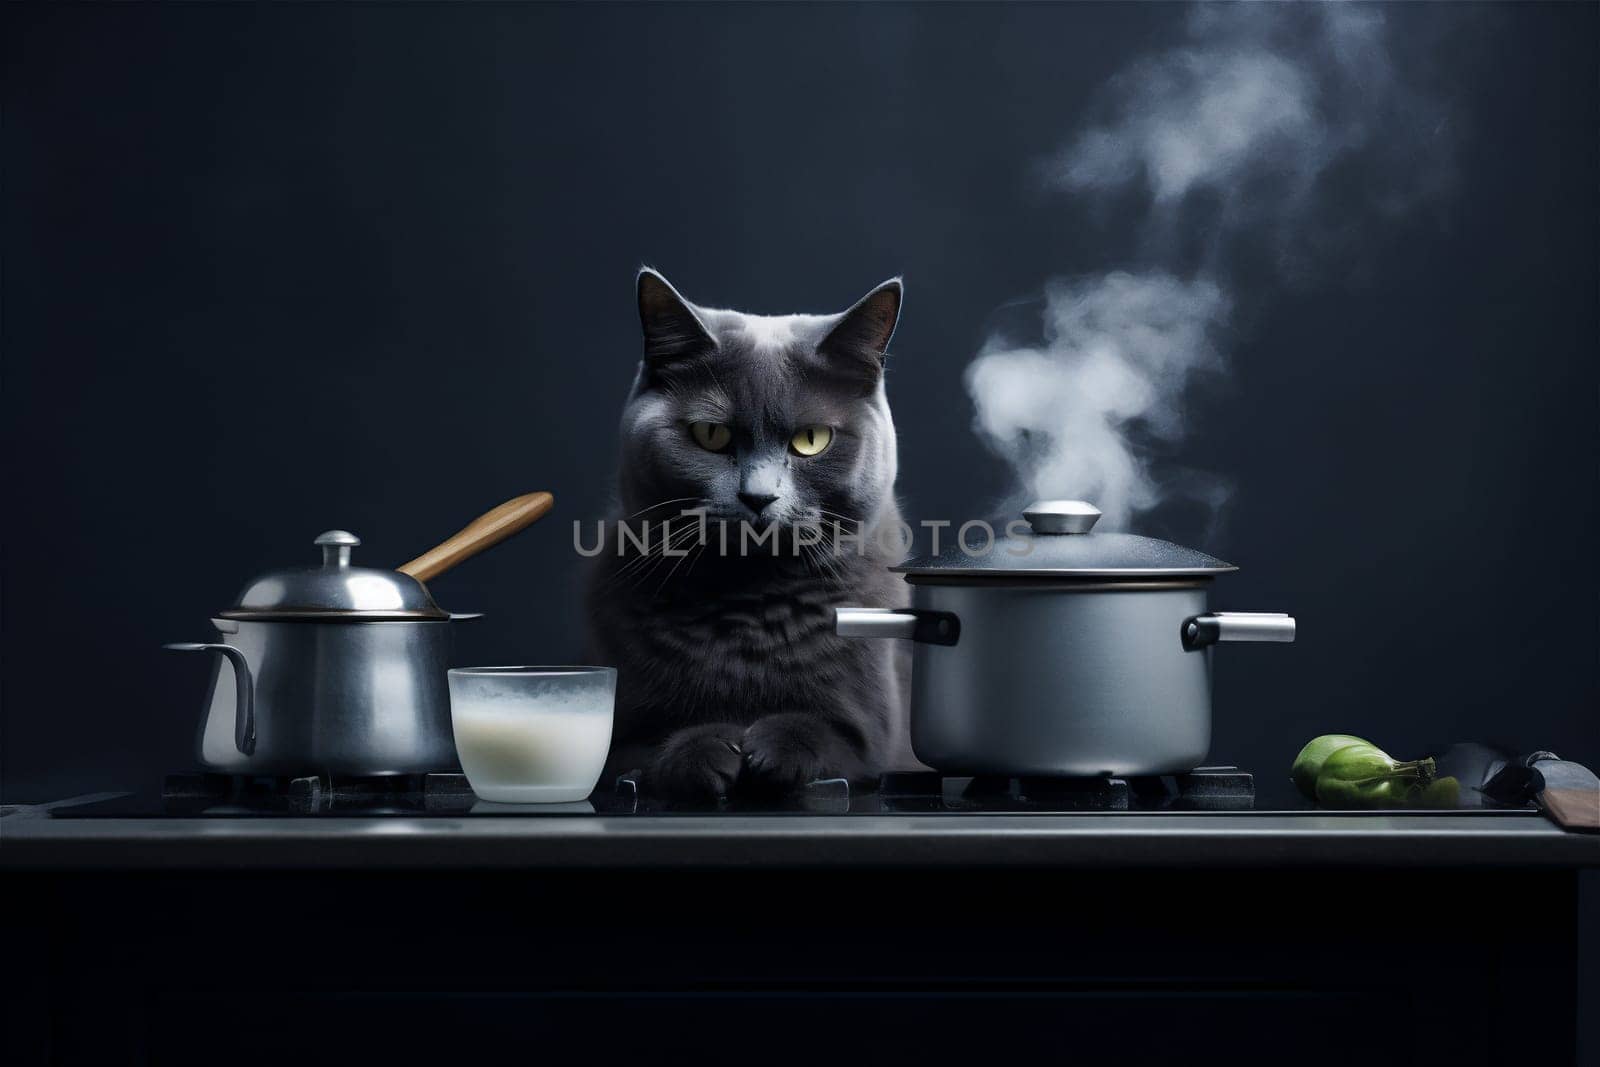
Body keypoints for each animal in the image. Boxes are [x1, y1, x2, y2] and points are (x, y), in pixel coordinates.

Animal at [588, 268, 915, 799]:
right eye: (711, 435)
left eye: (811, 440)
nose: (758, 496)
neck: (750, 607)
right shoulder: (625, 732)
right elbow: (646, 752)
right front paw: (706, 752)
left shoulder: (870, 737)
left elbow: (826, 735)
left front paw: (771, 751)